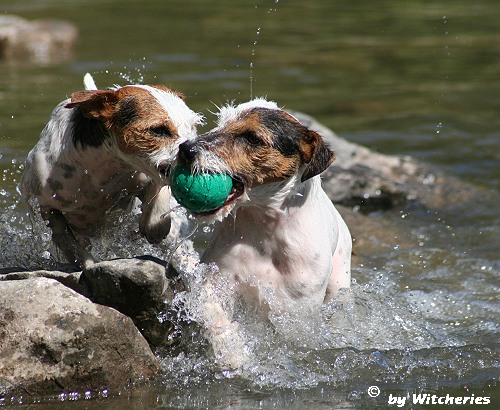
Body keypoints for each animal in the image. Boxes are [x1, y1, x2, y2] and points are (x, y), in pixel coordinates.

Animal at [19, 74, 203, 270]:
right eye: (158, 130)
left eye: (193, 126)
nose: (194, 150)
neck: (104, 168)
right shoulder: (46, 207)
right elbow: (68, 242)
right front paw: (88, 264)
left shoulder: (150, 176)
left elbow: (157, 199)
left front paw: (153, 227)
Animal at [177, 98, 352, 368]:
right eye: (221, 122)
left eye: (252, 137)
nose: (185, 149)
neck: (264, 232)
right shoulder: (219, 280)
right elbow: (214, 313)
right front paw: (232, 352)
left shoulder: (294, 311)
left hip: (341, 283)